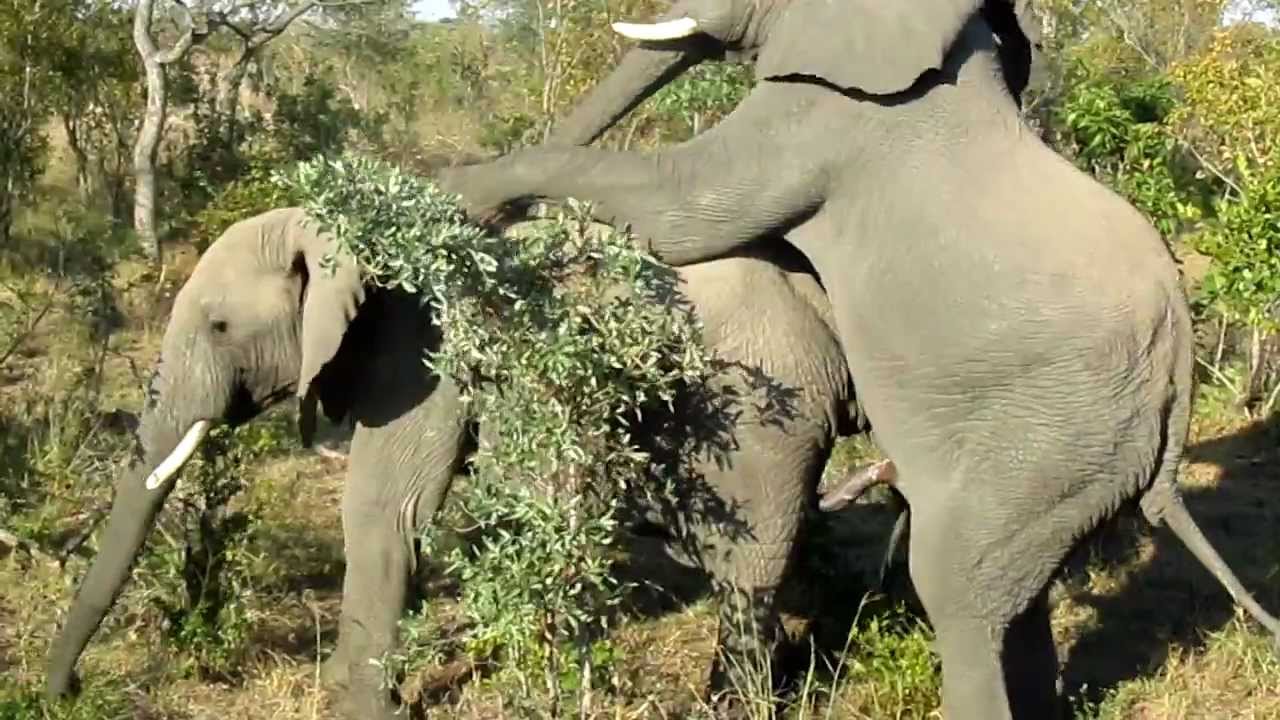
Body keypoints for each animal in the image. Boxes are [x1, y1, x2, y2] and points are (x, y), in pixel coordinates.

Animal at [49, 203, 870, 717]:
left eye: (219, 326)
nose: (66, 691)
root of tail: (821, 301)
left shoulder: (421, 356)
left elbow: (385, 510)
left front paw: (359, 707)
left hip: (766, 404)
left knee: (748, 560)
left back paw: (734, 703)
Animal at [435, 1, 1280, 717]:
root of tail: (1177, 392)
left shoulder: (824, 122)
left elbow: (680, 206)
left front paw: (456, 190)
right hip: (1075, 449)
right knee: (1018, 596)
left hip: (1062, 428)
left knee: (954, 583)